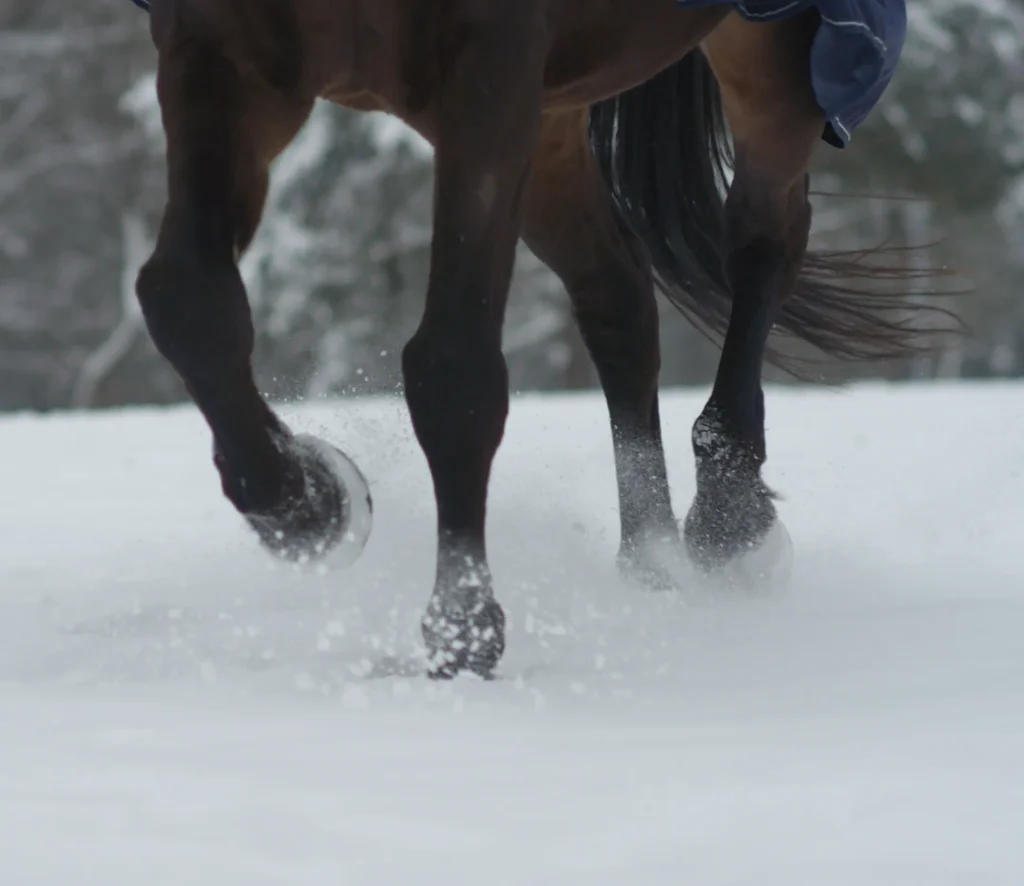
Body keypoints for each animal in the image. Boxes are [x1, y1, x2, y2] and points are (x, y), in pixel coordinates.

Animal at [129, 0, 943, 679]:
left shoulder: (491, 66)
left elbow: (452, 365)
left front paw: (461, 628)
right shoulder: (215, 48)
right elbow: (185, 301)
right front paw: (310, 506)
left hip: (770, 45)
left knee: (764, 239)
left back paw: (730, 517)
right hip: (556, 111)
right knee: (618, 295)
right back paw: (650, 565)